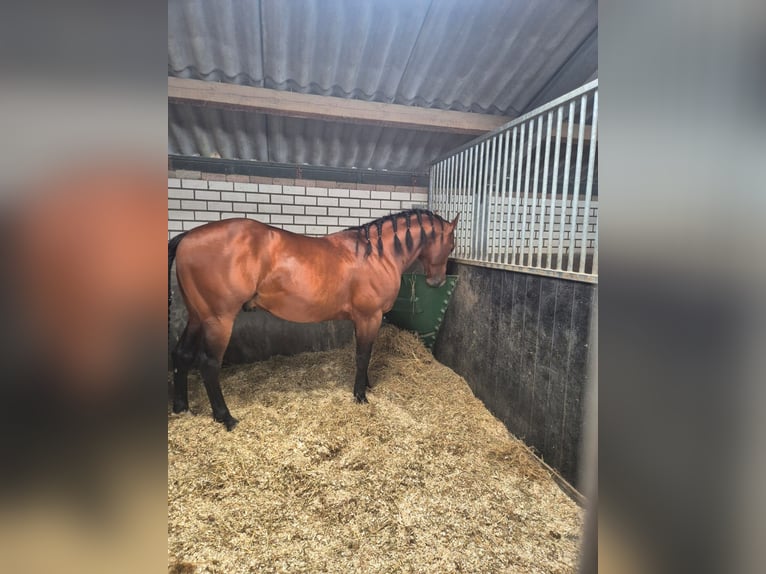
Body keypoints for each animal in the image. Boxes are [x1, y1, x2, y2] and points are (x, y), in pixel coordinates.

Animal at [168, 209, 458, 430]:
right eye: (452, 244)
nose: (437, 282)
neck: (376, 255)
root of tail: (187, 237)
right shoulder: (369, 317)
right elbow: (363, 355)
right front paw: (360, 395)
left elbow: (365, 354)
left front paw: (366, 385)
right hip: (218, 320)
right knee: (209, 364)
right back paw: (225, 417)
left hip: (198, 317)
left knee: (182, 355)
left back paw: (182, 407)